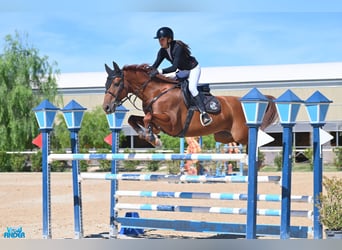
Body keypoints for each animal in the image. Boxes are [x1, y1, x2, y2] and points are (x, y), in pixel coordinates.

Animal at [102, 62, 278, 146]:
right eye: (106, 83)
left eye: (116, 83)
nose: (106, 107)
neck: (156, 92)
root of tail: (240, 102)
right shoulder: (159, 122)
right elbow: (134, 118)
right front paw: (149, 136)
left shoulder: (172, 123)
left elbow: (147, 118)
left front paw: (152, 138)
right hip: (223, 136)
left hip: (241, 134)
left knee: (255, 140)